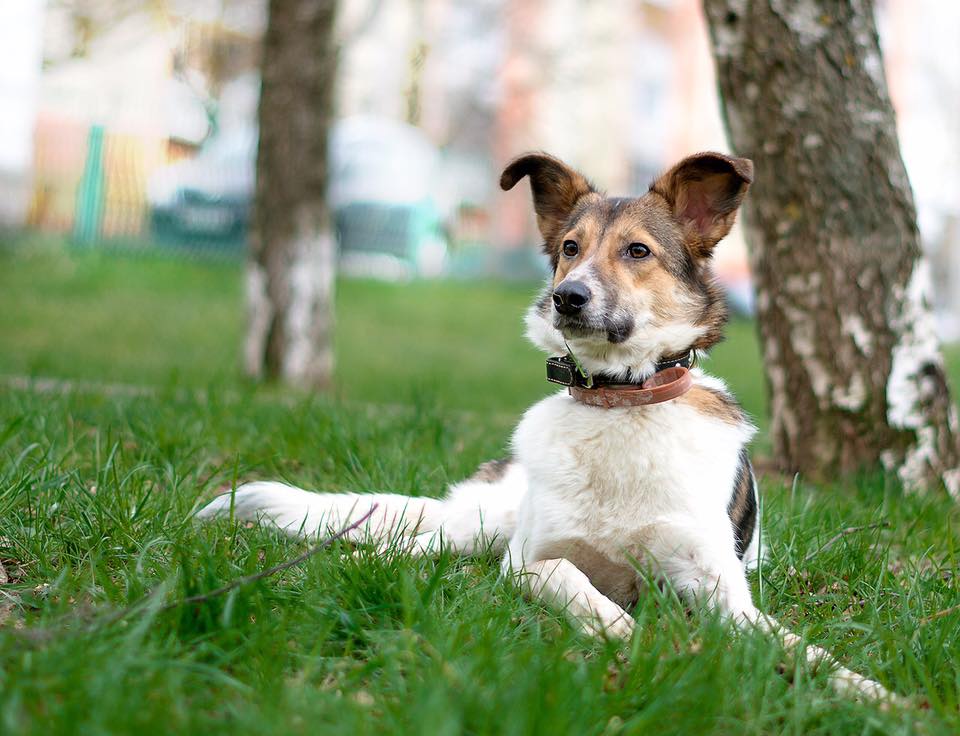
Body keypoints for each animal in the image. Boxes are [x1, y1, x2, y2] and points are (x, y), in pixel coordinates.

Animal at [201, 150, 892, 700]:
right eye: (569, 249)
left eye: (637, 251)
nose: (568, 297)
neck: (620, 401)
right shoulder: (527, 560)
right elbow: (566, 576)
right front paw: (615, 627)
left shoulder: (719, 592)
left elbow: (798, 647)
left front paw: (872, 694)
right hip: (478, 524)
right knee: (405, 540)